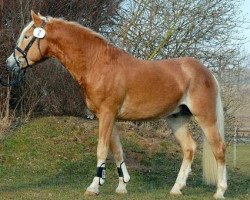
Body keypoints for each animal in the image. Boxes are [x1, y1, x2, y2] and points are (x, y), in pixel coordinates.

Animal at [5, 10, 228, 198]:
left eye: (27, 37)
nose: (9, 63)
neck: (97, 63)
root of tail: (206, 71)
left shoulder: (107, 114)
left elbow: (102, 149)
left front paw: (94, 187)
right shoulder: (106, 117)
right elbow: (117, 150)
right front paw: (122, 186)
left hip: (206, 118)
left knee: (219, 149)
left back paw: (220, 191)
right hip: (176, 118)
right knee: (189, 148)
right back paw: (176, 188)